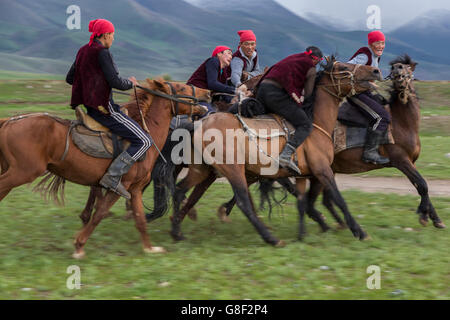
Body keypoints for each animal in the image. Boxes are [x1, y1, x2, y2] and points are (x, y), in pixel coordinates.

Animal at [0, 79, 209, 258]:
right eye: (181, 87)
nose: (206, 93)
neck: (148, 134)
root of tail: (9, 122)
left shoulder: (135, 189)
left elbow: (140, 219)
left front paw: (150, 248)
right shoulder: (119, 186)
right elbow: (99, 213)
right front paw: (79, 245)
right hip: (22, 172)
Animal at [169, 58, 384, 245]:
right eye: (343, 67)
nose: (375, 70)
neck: (315, 124)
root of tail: (201, 123)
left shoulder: (302, 175)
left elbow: (301, 202)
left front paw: (302, 234)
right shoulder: (323, 170)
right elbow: (339, 200)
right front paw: (360, 232)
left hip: (202, 169)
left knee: (179, 190)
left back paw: (176, 231)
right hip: (233, 169)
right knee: (243, 202)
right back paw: (271, 238)